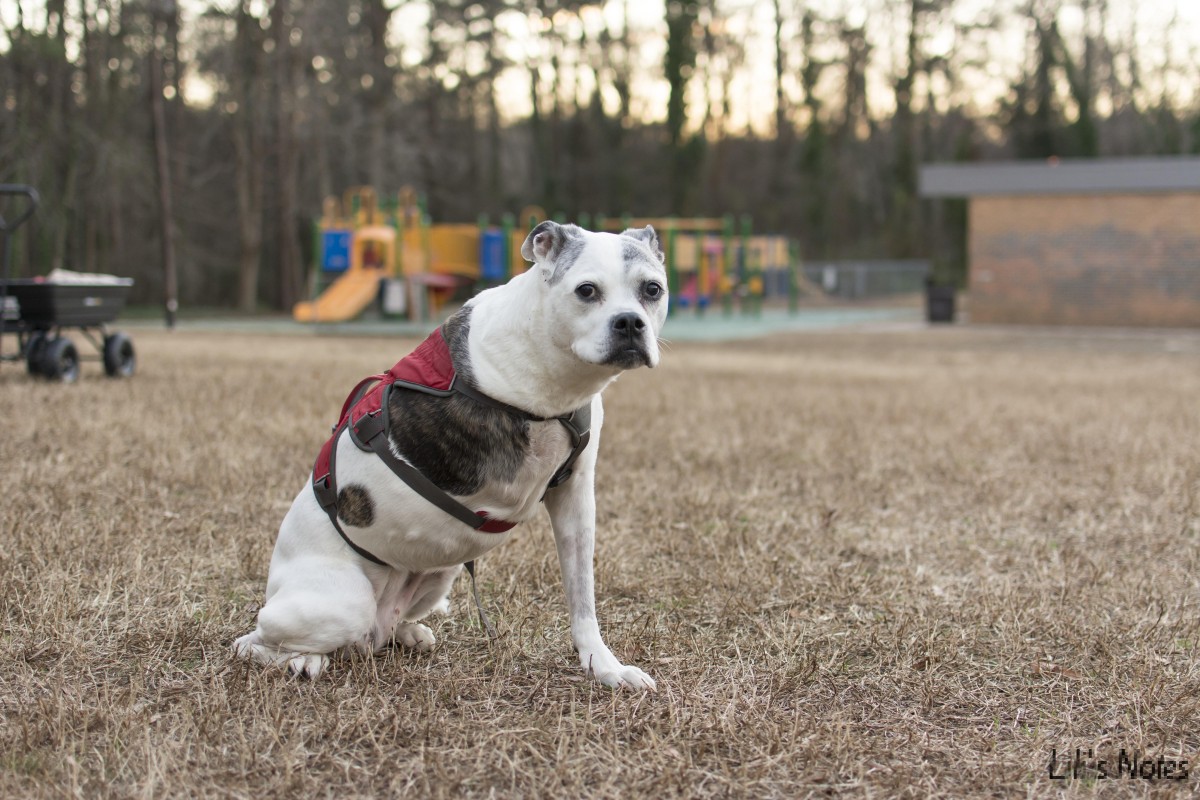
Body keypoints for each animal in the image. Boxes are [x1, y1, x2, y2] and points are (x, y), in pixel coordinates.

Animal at [230, 221, 672, 690]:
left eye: (652, 289)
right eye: (586, 290)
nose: (629, 322)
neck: (552, 367)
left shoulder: (575, 496)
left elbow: (582, 597)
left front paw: (604, 667)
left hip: (439, 573)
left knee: (385, 628)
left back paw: (407, 632)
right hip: (341, 603)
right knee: (252, 641)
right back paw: (303, 660)